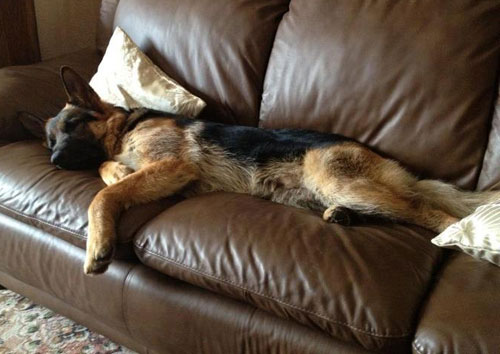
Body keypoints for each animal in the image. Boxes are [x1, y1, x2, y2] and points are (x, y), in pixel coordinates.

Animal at [21, 68, 500, 276]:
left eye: (72, 126)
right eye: (48, 141)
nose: (55, 161)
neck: (127, 127)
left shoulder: (172, 165)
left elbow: (102, 197)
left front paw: (98, 242)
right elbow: (109, 169)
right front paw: (117, 172)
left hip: (338, 179)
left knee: (427, 210)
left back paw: (455, 235)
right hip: (317, 191)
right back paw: (341, 217)